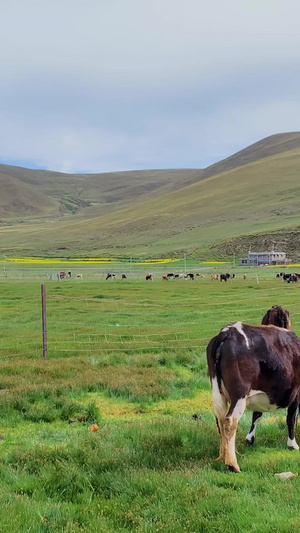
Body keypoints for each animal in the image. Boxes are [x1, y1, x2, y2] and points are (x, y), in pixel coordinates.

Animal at [206, 306, 300, 472]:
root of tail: (226, 333)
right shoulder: (296, 392)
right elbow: (291, 418)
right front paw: (292, 445)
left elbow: (257, 414)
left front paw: (250, 439)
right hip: (239, 393)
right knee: (230, 421)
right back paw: (232, 464)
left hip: (218, 391)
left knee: (220, 419)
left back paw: (223, 455)